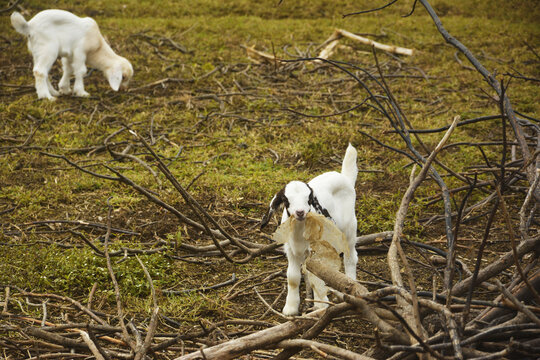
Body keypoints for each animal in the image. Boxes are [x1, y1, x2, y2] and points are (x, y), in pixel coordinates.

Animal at [262, 143, 358, 316]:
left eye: (309, 199)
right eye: (286, 199)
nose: (300, 212)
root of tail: (344, 177)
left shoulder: (316, 251)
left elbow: (316, 276)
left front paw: (320, 306)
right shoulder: (291, 250)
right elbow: (293, 277)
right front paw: (290, 308)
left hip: (349, 227)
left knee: (350, 257)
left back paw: (349, 286)